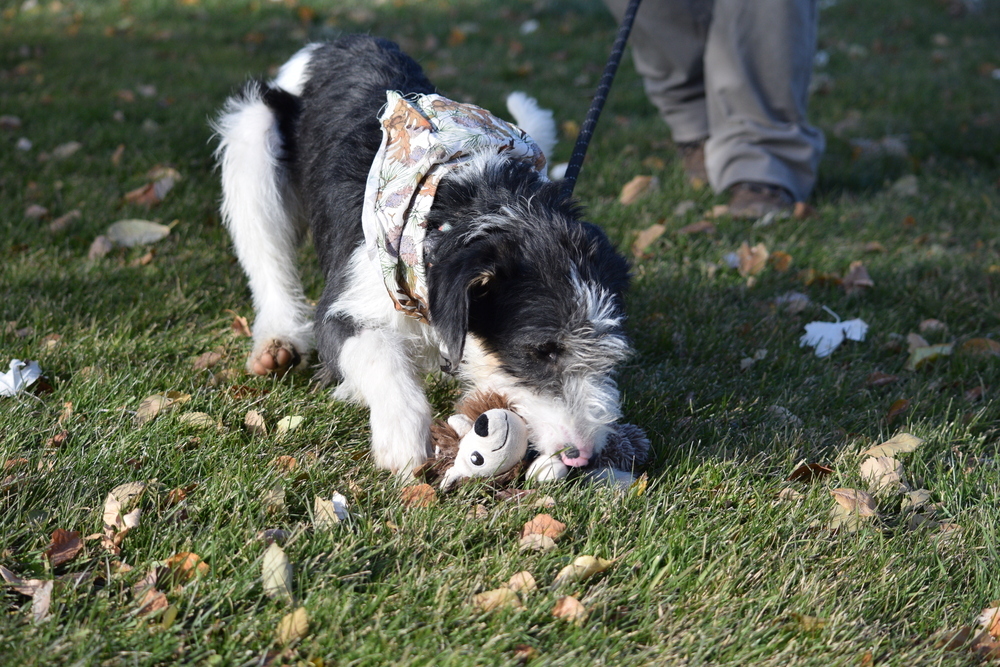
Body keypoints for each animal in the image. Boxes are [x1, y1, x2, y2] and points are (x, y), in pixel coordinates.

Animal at [214, 35, 628, 480]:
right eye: (541, 351)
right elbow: (377, 352)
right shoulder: (342, 308)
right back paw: (277, 340)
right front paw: (403, 438)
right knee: (267, 259)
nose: (581, 455)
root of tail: (336, 41)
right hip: (252, 135)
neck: (454, 211)